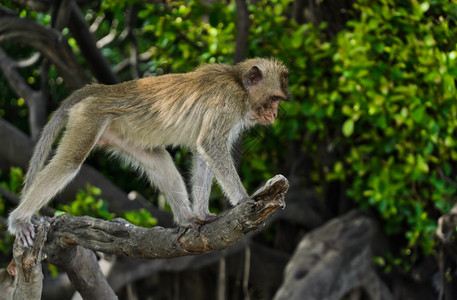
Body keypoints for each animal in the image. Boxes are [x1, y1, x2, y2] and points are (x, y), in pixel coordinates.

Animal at [7, 57, 288, 247]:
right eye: (274, 99)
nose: (275, 115)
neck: (237, 83)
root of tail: (103, 89)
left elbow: (203, 152)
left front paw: (202, 214)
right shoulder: (226, 102)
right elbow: (210, 145)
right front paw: (244, 200)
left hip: (119, 133)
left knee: (159, 161)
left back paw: (187, 219)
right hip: (89, 118)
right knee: (68, 162)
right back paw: (19, 220)